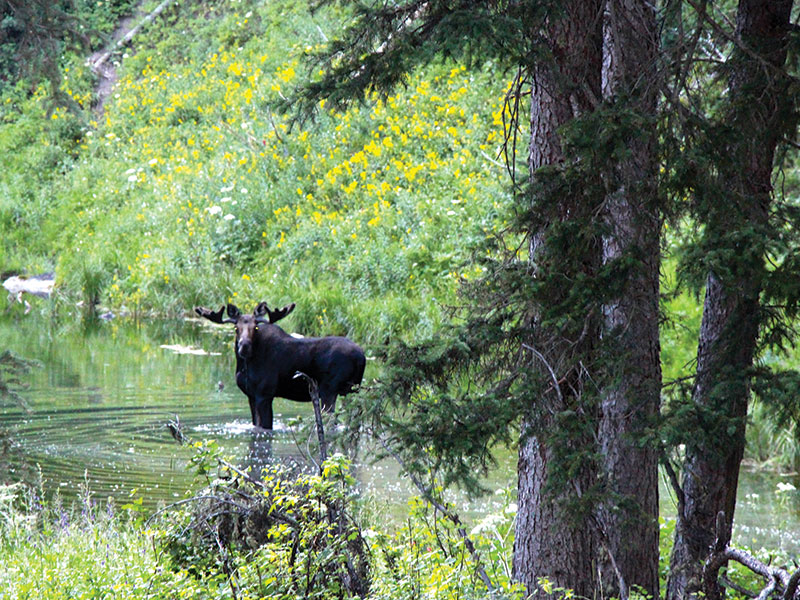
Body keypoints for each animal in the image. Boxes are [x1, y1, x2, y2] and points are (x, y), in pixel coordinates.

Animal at [197, 302, 366, 428]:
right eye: (236, 328)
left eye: (255, 327)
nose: (244, 346)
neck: (245, 365)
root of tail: (361, 357)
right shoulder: (251, 395)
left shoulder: (264, 394)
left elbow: (265, 426)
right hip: (351, 390)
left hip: (329, 389)